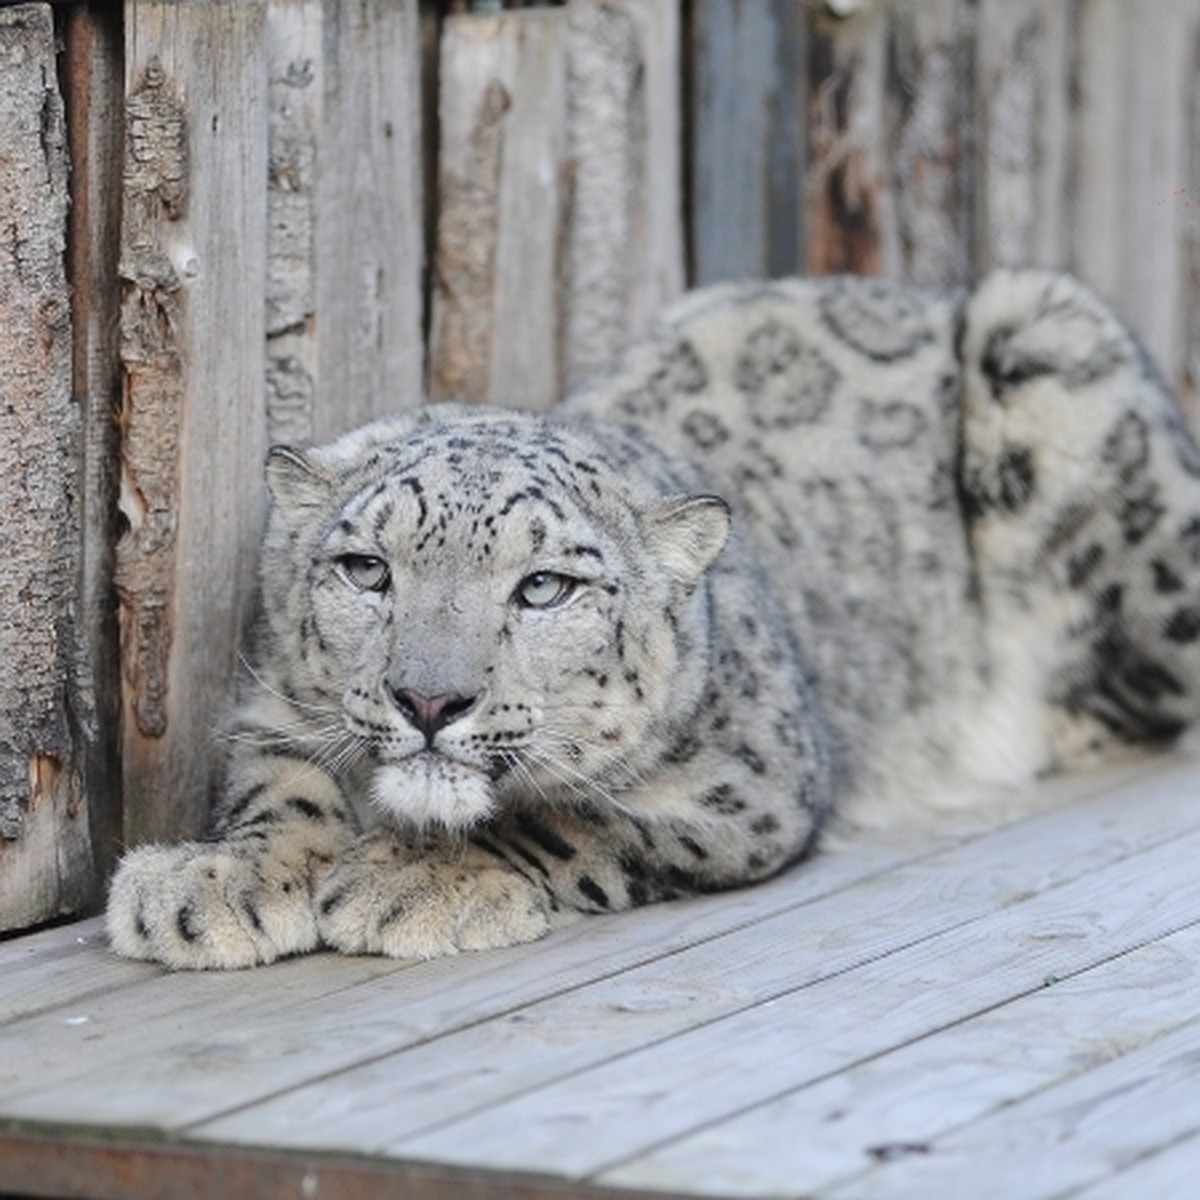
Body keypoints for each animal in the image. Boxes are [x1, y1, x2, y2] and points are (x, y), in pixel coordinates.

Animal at [105, 272, 1200, 964]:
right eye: (367, 569)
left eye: (544, 587)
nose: (429, 701)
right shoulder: (272, 710)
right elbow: (277, 787)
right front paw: (211, 886)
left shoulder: (752, 788)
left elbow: (582, 818)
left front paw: (411, 885)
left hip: (1063, 363)